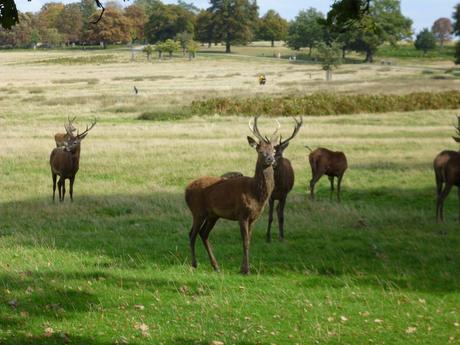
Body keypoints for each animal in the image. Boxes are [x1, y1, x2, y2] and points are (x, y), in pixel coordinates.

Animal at [185, 117, 278, 272]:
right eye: (260, 151)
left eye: (274, 150)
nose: (271, 159)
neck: (255, 194)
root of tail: (186, 190)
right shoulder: (242, 214)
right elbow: (245, 241)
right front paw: (245, 270)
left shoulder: (253, 217)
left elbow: (249, 241)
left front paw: (245, 268)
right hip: (197, 211)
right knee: (192, 233)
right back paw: (194, 264)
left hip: (213, 215)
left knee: (203, 233)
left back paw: (216, 266)